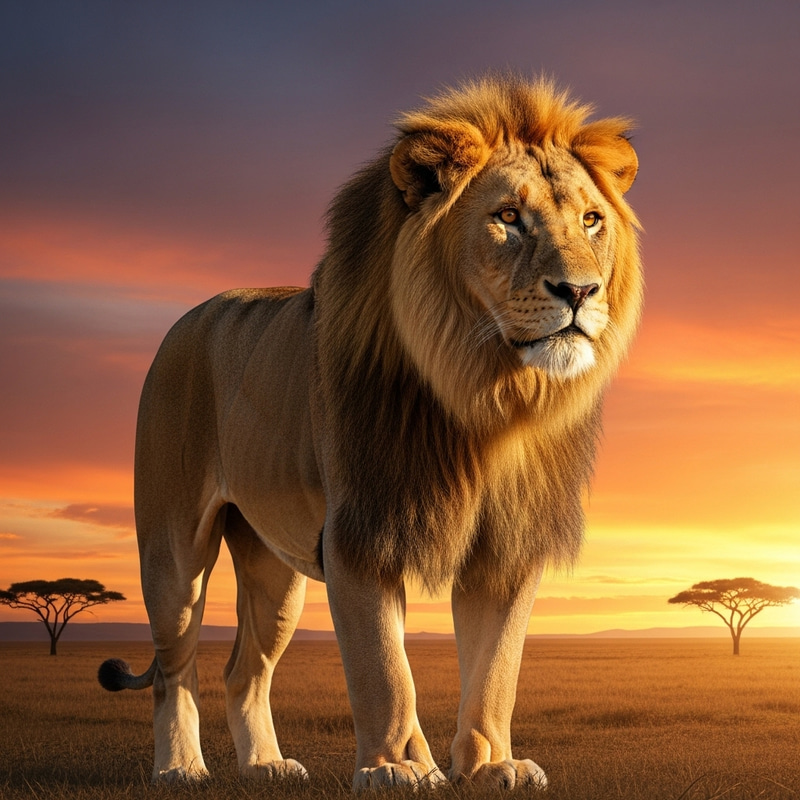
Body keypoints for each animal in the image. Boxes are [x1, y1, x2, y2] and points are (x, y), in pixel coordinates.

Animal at [98, 74, 642, 790]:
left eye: (590, 220)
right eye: (507, 217)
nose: (580, 291)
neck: (487, 398)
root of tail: (190, 315)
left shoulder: (508, 546)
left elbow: (496, 671)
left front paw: (491, 765)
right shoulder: (361, 534)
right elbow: (384, 670)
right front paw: (398, 768)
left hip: (274, 573)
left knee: (243, 669)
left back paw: (265, 766)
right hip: (173, 548)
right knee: (174, 664)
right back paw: (181, 769)